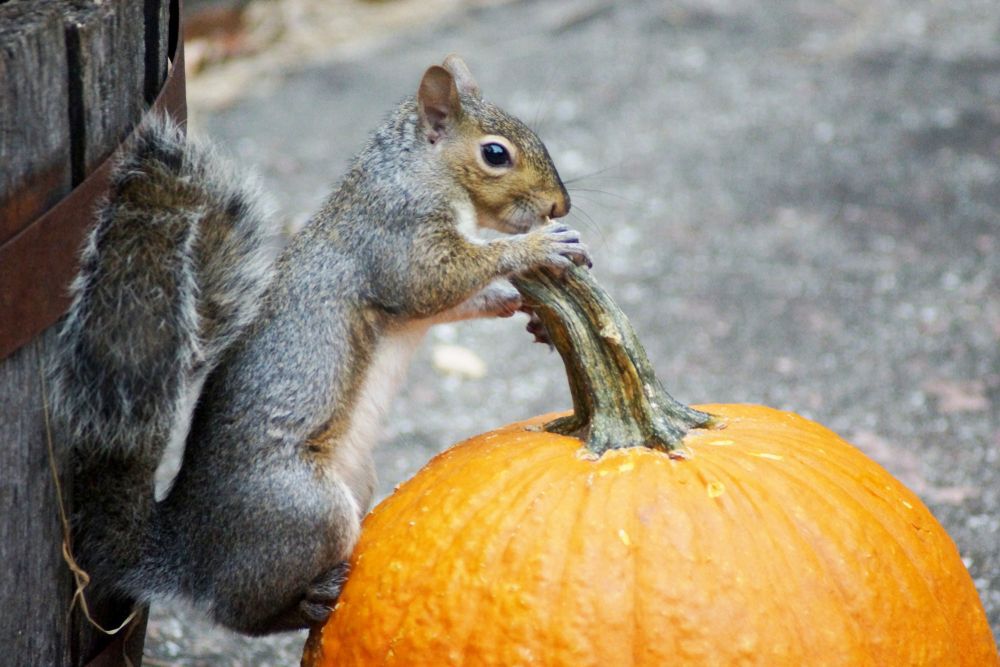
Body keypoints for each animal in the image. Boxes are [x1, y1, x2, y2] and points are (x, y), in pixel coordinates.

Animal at [48, 55, 589, 635]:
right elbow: (434, 279)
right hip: (306, 511)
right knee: (241, 613)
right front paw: (538, 245)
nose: (560, 204)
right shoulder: (397, 235)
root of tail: (184, 548)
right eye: (495, 154)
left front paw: (525, 308)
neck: (415, 168)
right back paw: (310, 602)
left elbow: (455, 300)